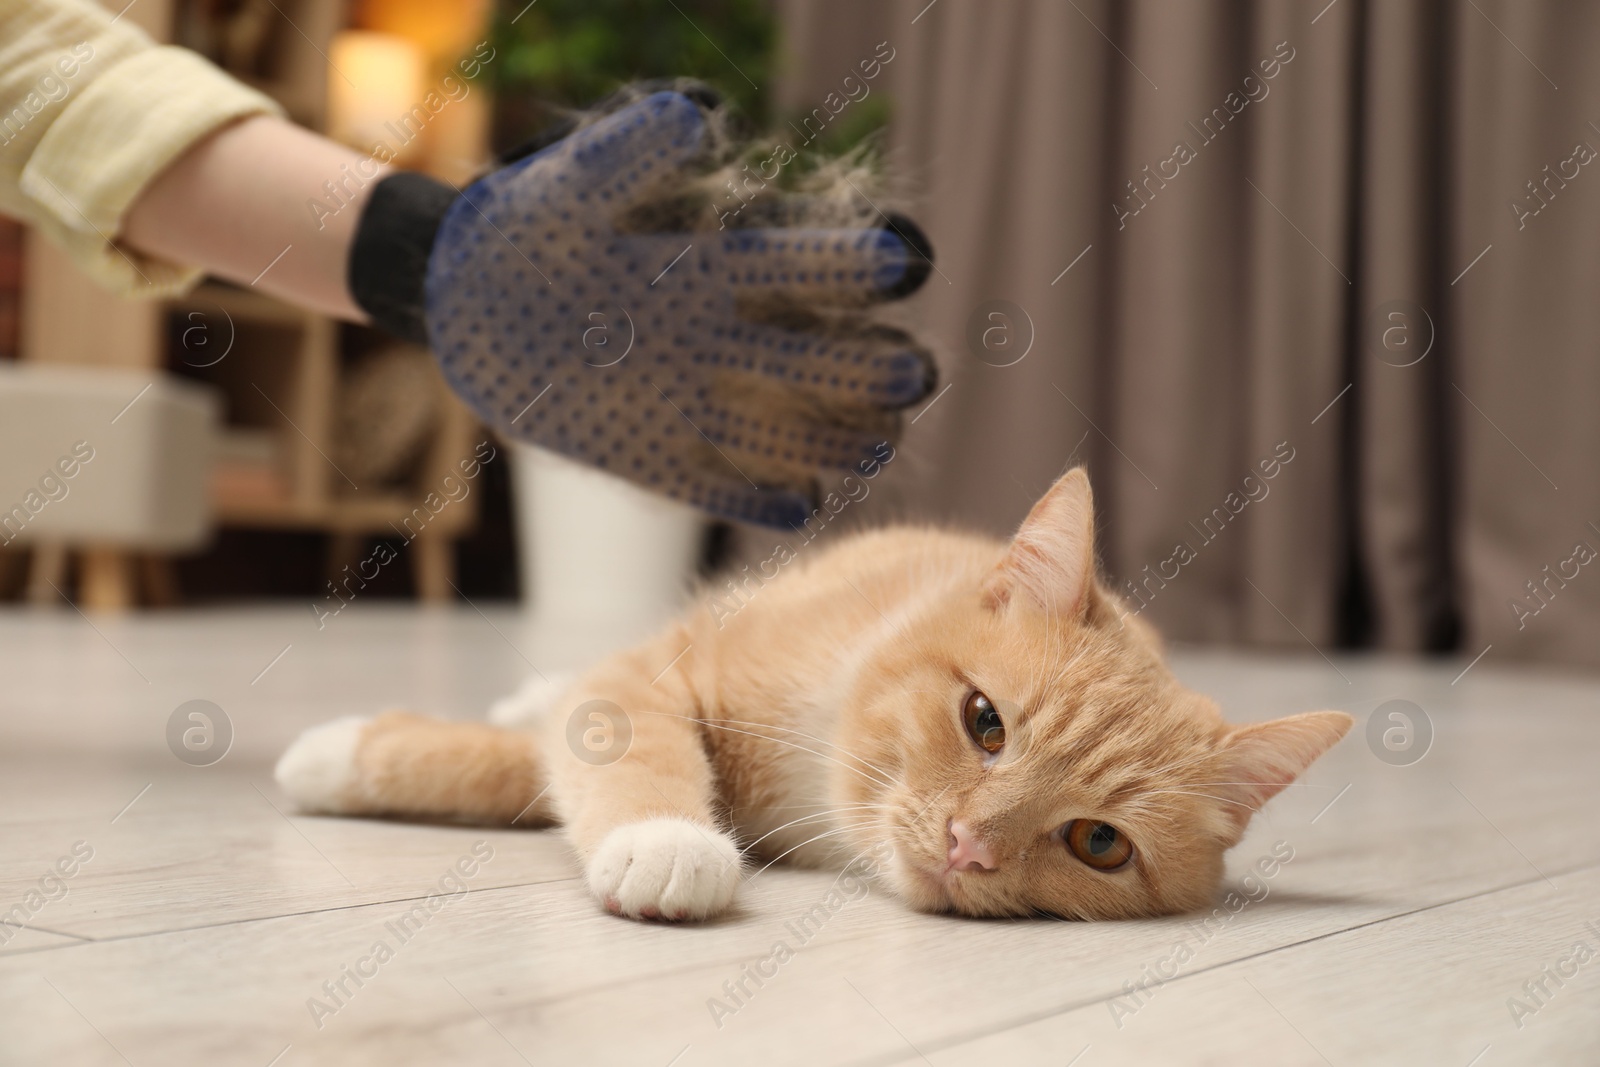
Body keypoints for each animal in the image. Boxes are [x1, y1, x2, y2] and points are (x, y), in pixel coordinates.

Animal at [275, 470, 1350, 921]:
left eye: (1099, 843)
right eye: (985, 721)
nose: (968, 845)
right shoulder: (657, 676)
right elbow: (604, 747)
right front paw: (667, 838)